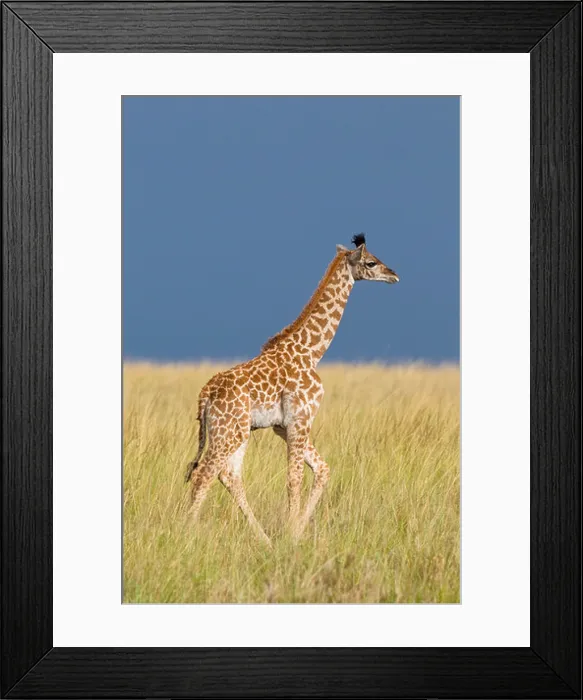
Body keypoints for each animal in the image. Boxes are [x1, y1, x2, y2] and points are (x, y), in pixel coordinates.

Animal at [185, 233, 399, 544]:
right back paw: (185, 533)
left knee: (228, 475)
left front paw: (295, 531)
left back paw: (264, 539)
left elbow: (322, 469)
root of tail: (205, 396)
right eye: (371, 262)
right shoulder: (301, 418)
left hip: (237, 432)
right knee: (204, 473)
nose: (394, 274)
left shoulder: (283, 426)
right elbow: (295, 477)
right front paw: (291, 535)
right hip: (228, 432)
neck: (311, 351)